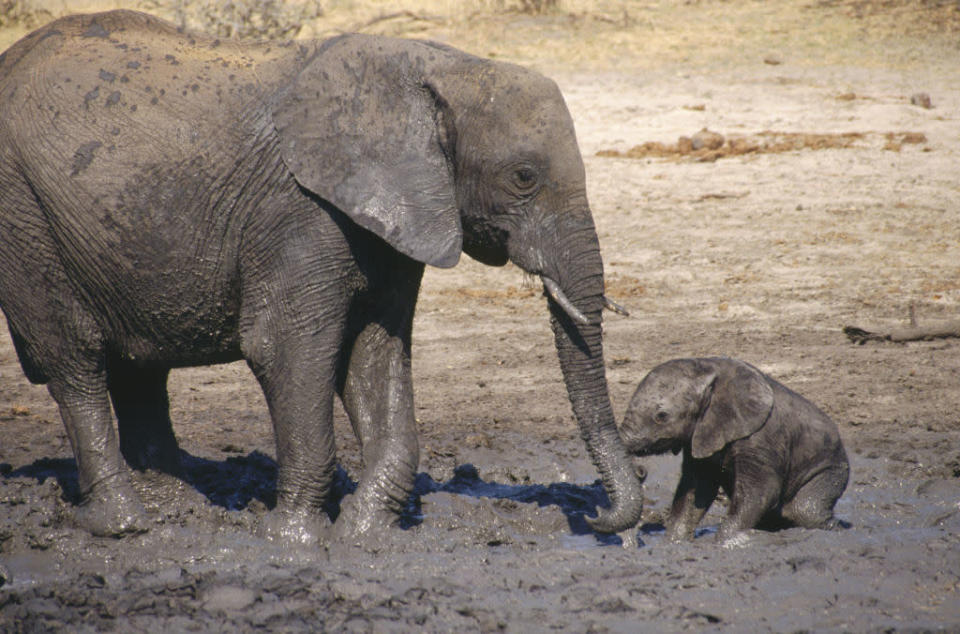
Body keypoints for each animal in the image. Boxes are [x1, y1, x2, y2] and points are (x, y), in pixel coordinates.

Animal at [0, 9, 644, 540]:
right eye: (524, 177)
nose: (597, 517)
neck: (440, 66)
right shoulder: (299, 211)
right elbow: (286, 349)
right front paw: (294, 541)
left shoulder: (398, 215)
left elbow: (376, 355)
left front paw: (364, 532)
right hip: (25, 217)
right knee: (73, 362)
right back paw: (121, 523)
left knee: (138, 369)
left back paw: (176, 506)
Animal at [624, 356, 848, 540]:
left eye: (661, 416)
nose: (641, 471)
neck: (710, 369)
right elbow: (697, 488)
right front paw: (674, 542)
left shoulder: (762, 437)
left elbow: (761, 491)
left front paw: (724, 542)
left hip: (831, 470)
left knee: (804, 511)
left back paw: (838, 531)